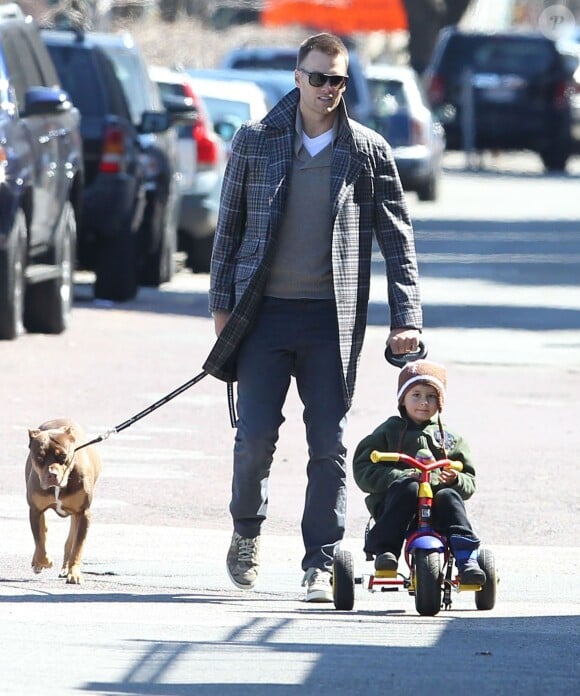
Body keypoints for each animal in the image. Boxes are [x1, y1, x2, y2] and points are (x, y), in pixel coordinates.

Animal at [25, 418, 102, 580]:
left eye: (63, 457)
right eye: (40, 457)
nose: (52, 475)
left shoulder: (83, 513)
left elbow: (77, 547)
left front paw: (74, 573)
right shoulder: (35, 510)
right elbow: (39, 541)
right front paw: (44, 561)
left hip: (76, 514)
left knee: (71, 539)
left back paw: (66, 568)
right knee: (43, 532)